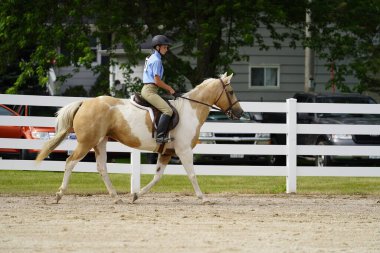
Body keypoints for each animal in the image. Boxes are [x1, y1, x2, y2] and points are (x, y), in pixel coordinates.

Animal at [35, 72, 243, 204]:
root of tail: (85, 103)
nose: (240, 113)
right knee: (70, 162)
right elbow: (192, 174)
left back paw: (116, 197)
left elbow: (157, 176)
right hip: (86, 143)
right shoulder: (183, 151)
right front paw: (204, 198)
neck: (190, 111)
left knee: (102, 168)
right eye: (231, 91)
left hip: (100, 143)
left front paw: (136, 195)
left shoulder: (167, 152)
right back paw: (59, 195)